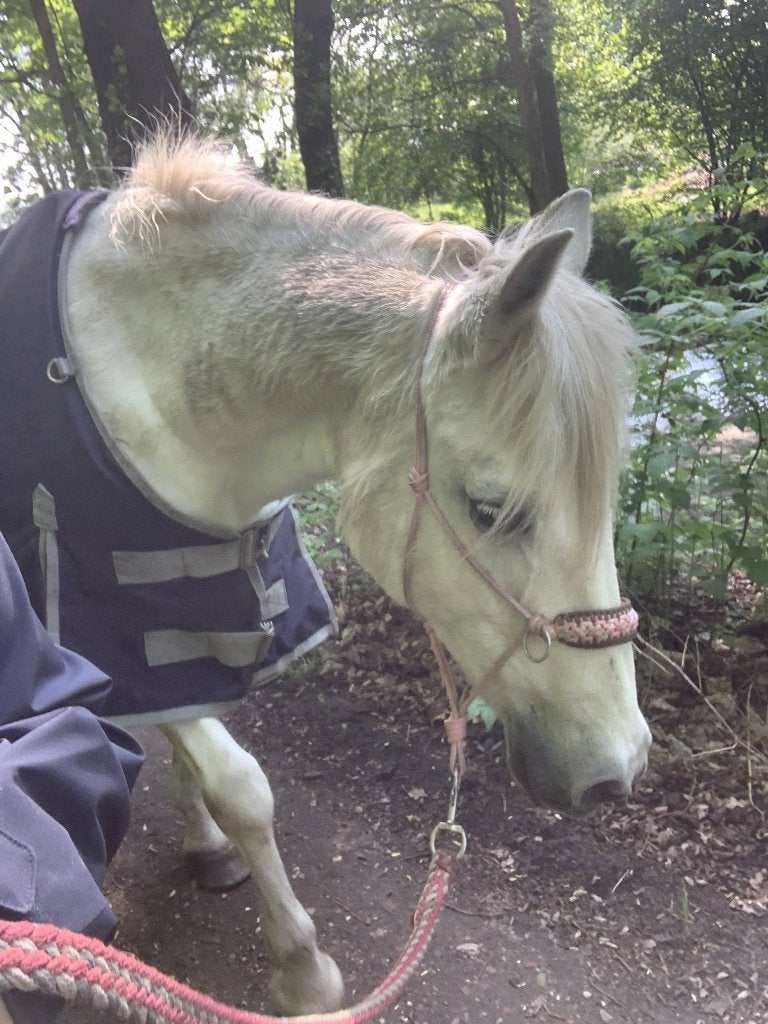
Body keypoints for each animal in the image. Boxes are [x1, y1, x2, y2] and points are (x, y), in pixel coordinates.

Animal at [0, 134, 650, 1016]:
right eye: (490, 508)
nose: (617, 770)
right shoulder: (119, 634)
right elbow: (240, 785)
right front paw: (303, 973)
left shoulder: (193, 622)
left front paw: (209, 844)